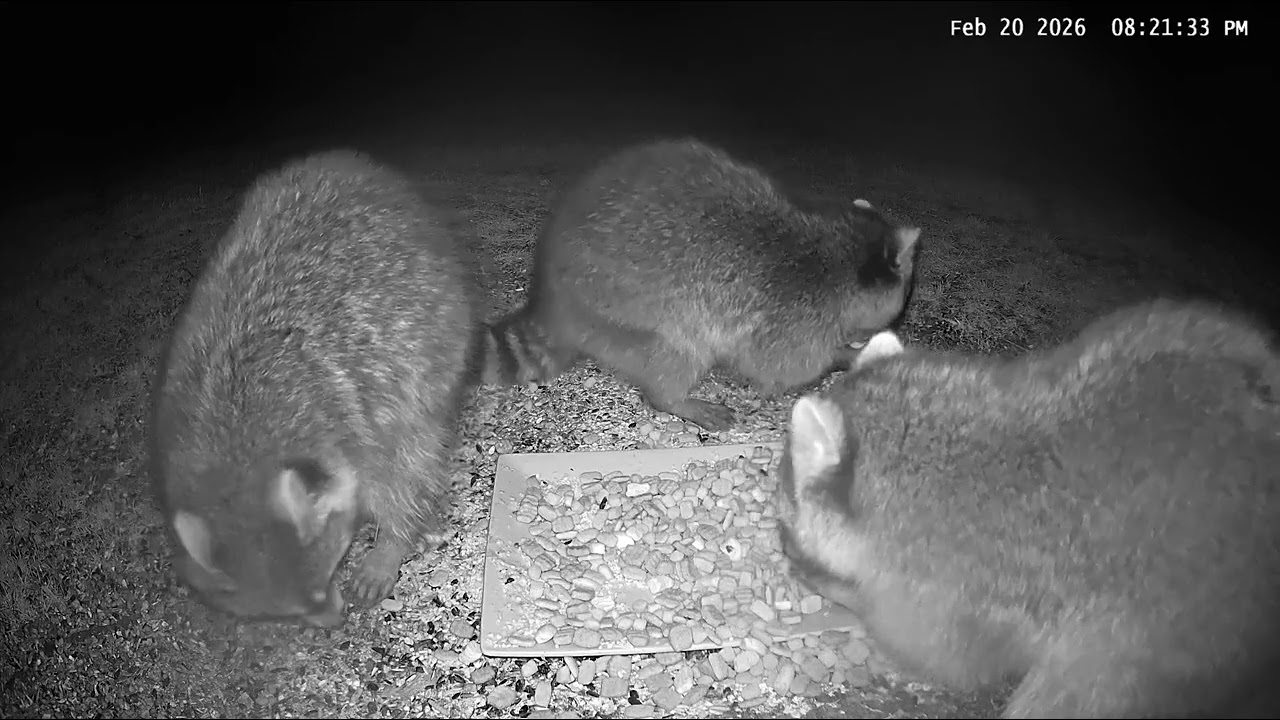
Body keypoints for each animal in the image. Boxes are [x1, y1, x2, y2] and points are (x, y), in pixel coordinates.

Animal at [150, 149, 485, 627]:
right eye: (288, 613)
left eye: (322, 581)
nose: (334, 622)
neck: (233, 455)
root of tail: (351, 163)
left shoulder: (359, 411)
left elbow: (399, 474)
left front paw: (391, 543)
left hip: (436, 330)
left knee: (419, 438)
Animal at [482, 139, 921, 431]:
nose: (887, 326)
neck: (839, 251)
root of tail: (551, 299)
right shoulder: (797, 315)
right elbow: (782, 367)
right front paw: (845, 356)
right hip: (624, 313)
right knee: (676, 352)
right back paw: (673, 399)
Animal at [777, 299, 1280, 718]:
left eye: (785, 511)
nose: (784, 544)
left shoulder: (956, 586)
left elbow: (944, 654)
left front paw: (847, 597)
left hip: (1163, 638)